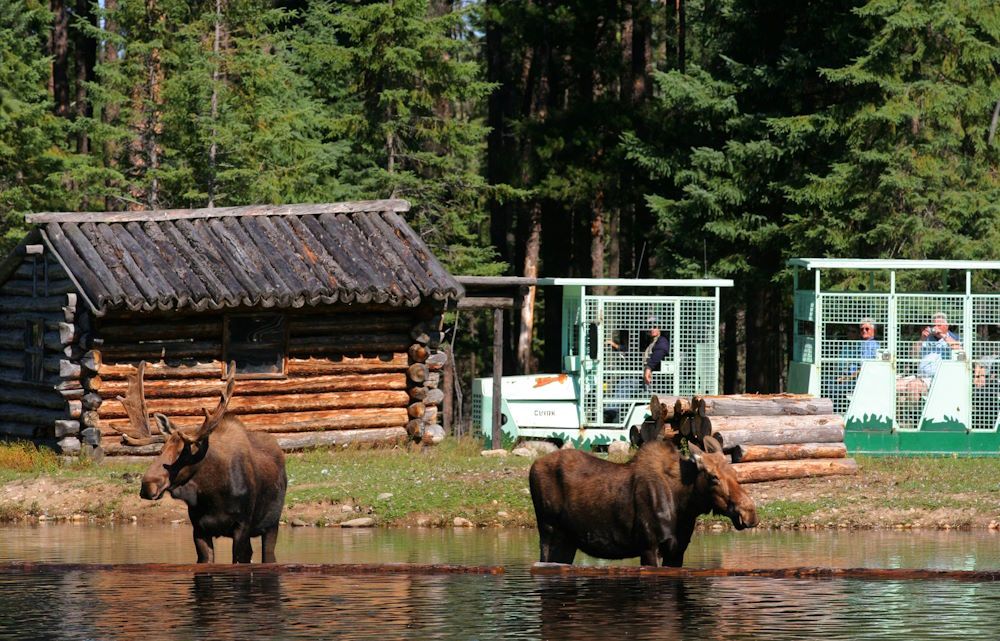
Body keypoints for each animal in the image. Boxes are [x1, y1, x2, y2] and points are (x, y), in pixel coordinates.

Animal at [117, 362, 292, 564]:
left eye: (185, 452)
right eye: (162, 450)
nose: (147, 485)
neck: (212, 494)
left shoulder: (242, 525)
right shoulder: (199, 528)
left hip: (272, 525)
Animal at [528, 398, 752, 568]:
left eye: (735, 472)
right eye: (714, 477)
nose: (749, 512)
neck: (686, 505)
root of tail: (532, 468)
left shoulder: (677, 551)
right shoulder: (650, 546)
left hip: (568, 540)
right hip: (549, 531)